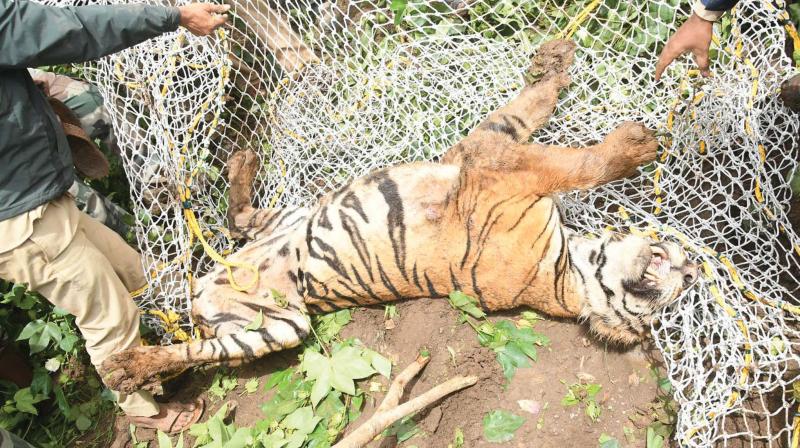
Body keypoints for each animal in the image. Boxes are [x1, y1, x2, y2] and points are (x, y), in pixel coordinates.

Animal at [101, 40, 700, 394]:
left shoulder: (495, 165)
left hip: (276, 326)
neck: (570, 268)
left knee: (200, 342)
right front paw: (561, 63)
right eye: (674, 273)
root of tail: (205, 290)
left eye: (671, 298)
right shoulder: (489, 151)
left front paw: (632, 145)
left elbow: (576, 162)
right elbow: (543, 122)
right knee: (235, 220)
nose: (692, 269)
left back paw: (128, 367)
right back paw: (242, 161)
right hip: (288, 223)